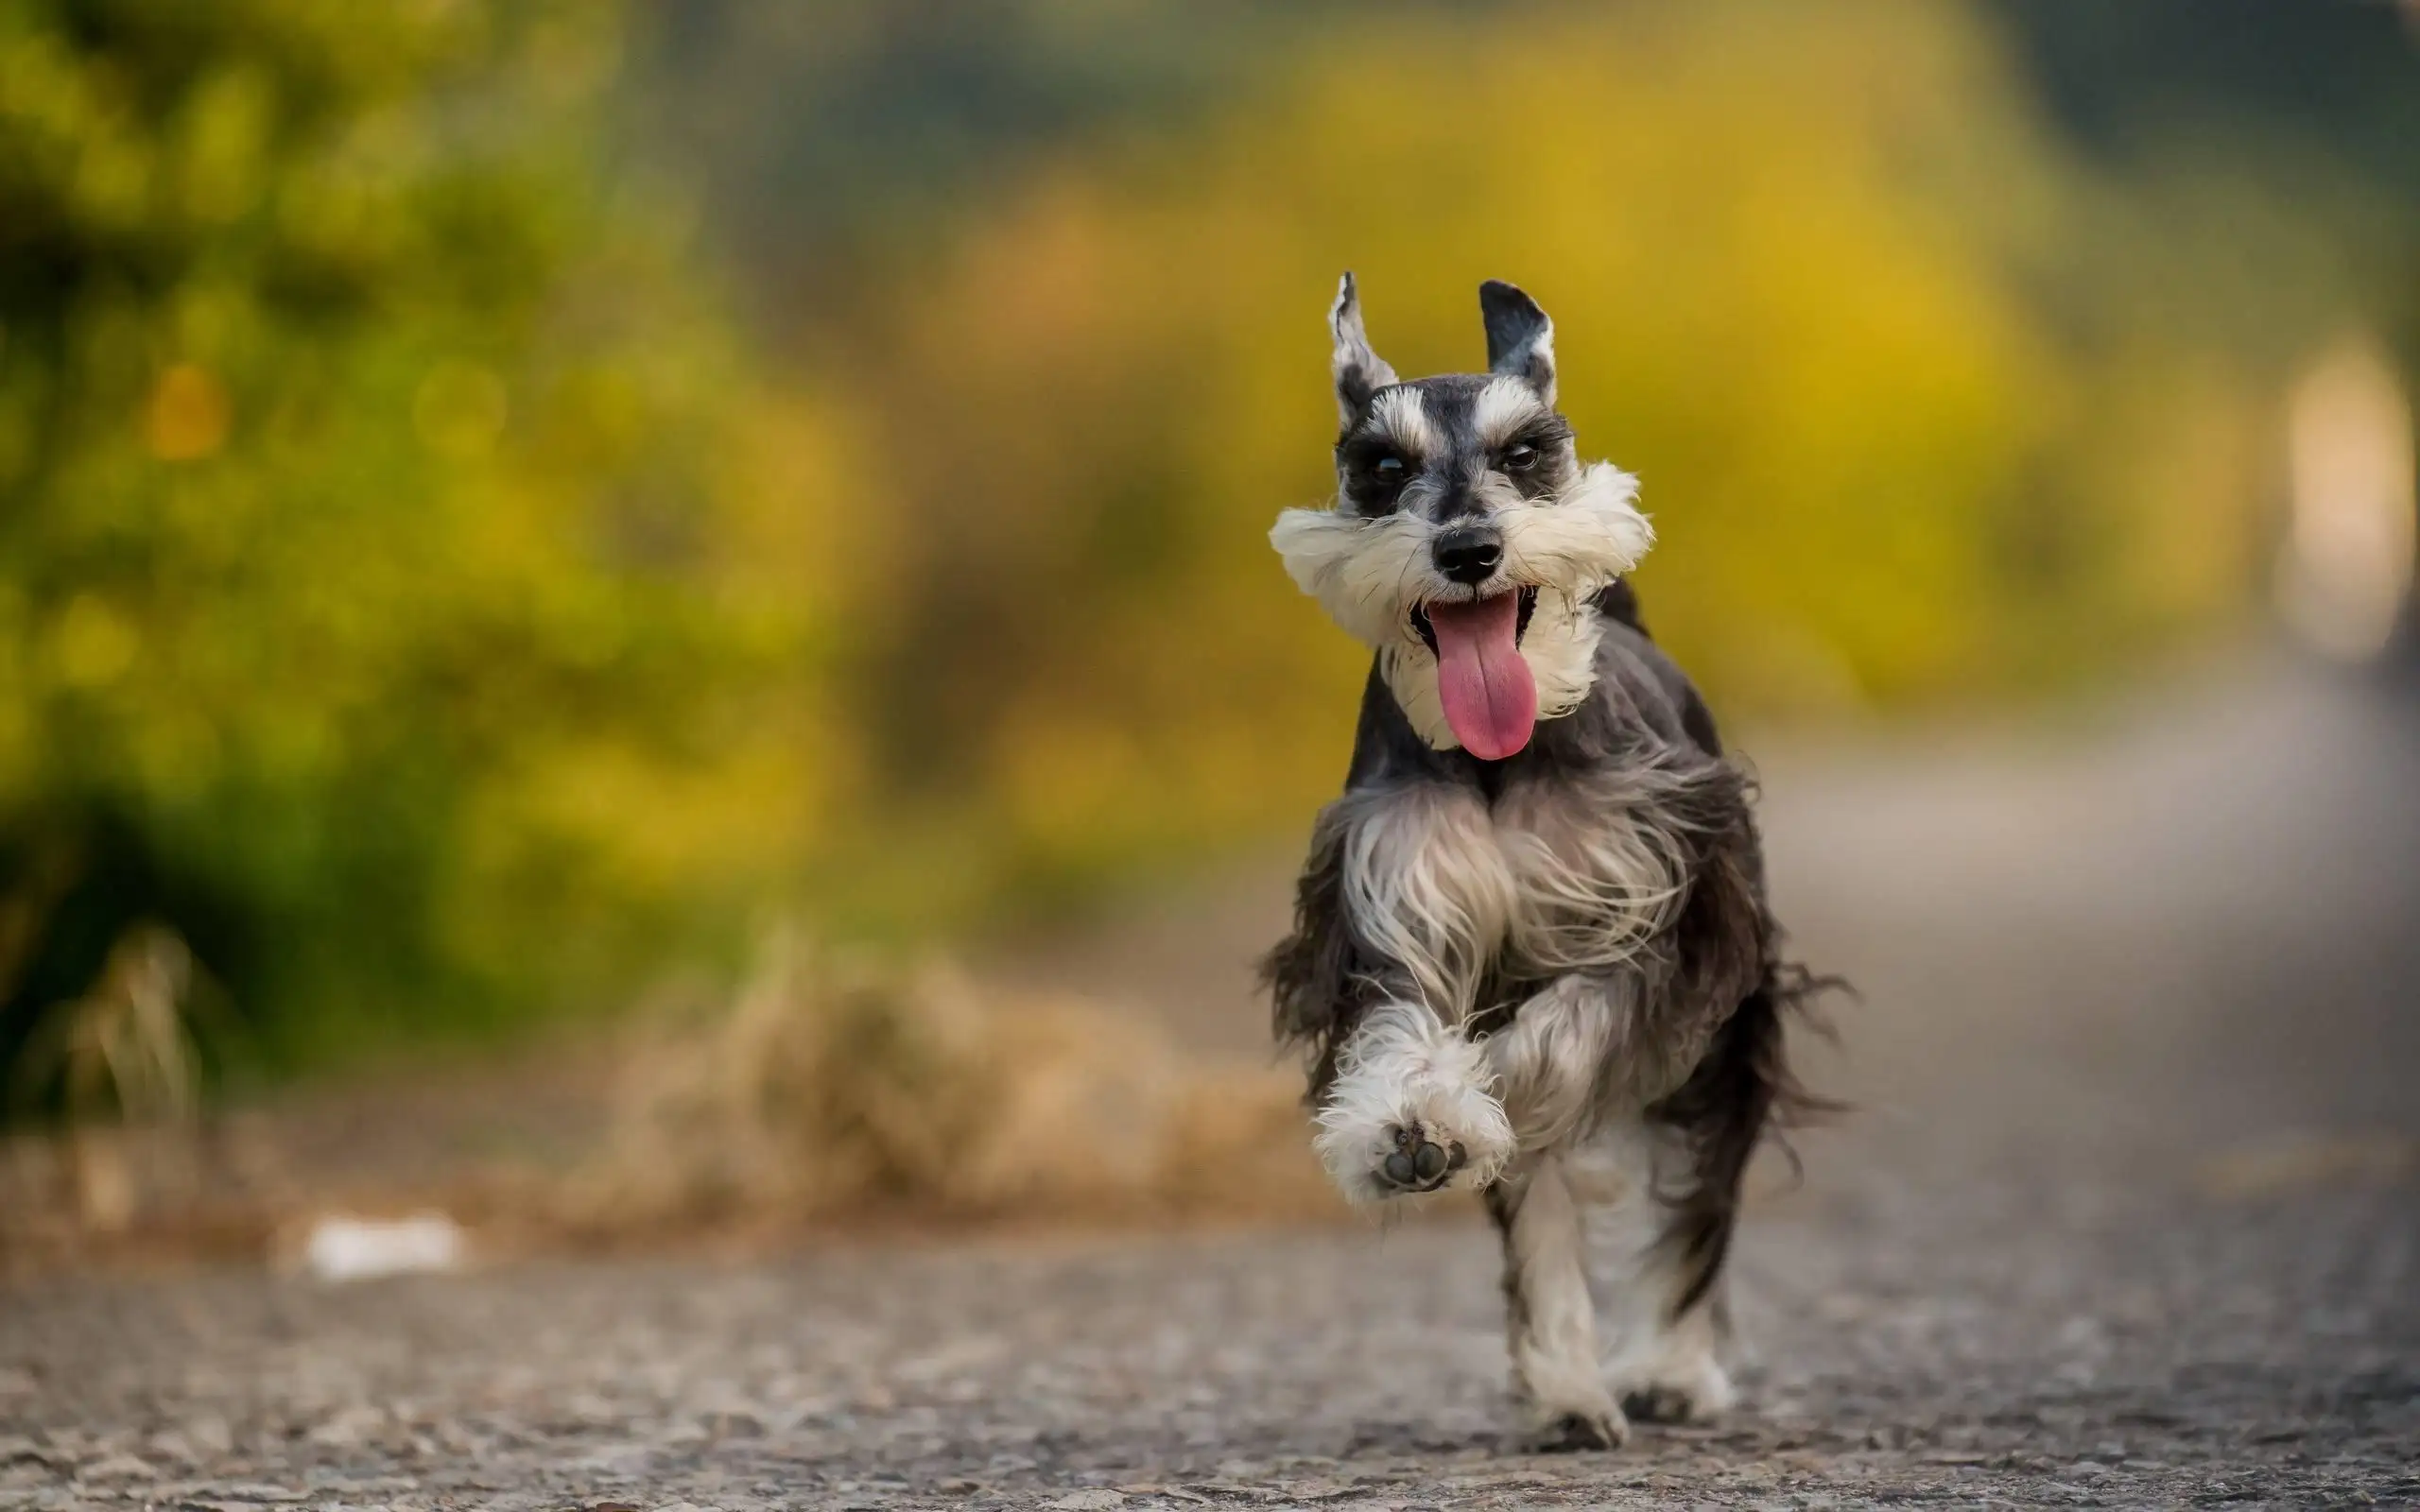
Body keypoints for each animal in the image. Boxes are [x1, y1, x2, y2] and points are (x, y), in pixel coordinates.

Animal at [1268, 274, 1820, 1452]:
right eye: (1382, 467)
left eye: (1525, 451)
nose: (1470, 548)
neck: (1500, 758)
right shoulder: (1394, 909)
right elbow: (1407, 1035)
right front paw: (1413, 1121)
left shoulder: (1666, 928)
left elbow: (1569, 1032)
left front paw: (1487, 1092)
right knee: (1542, 1218)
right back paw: (1567, 1390)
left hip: (1729, 1037)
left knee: (1699, 1199)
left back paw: (1667, 1366)